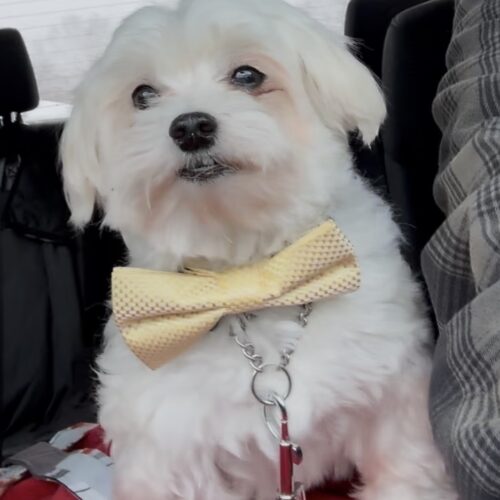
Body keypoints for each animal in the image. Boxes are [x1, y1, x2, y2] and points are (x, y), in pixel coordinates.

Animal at [60, 0, 458, 498]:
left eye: (248, 75)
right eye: (142, 95)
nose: (190, 127)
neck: (245, 273)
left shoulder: (394, 394)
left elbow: (405, 465)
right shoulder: (171, 448)